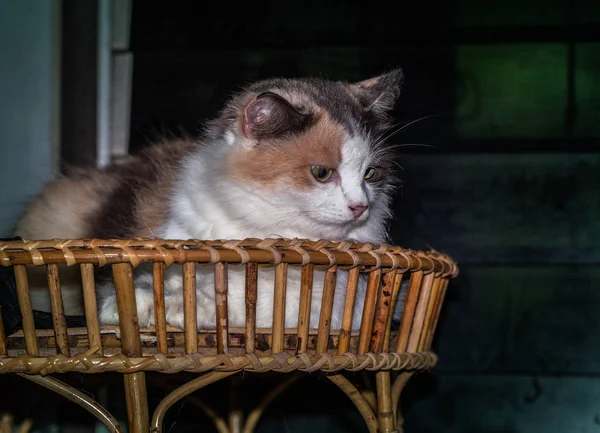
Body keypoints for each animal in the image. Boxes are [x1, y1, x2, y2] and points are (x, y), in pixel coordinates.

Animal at [15, 69, 408, 330]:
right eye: (322, 173)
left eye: (370, 174)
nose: (360, 206)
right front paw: (131, 305)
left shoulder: (332, 303)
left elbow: (244, 303)